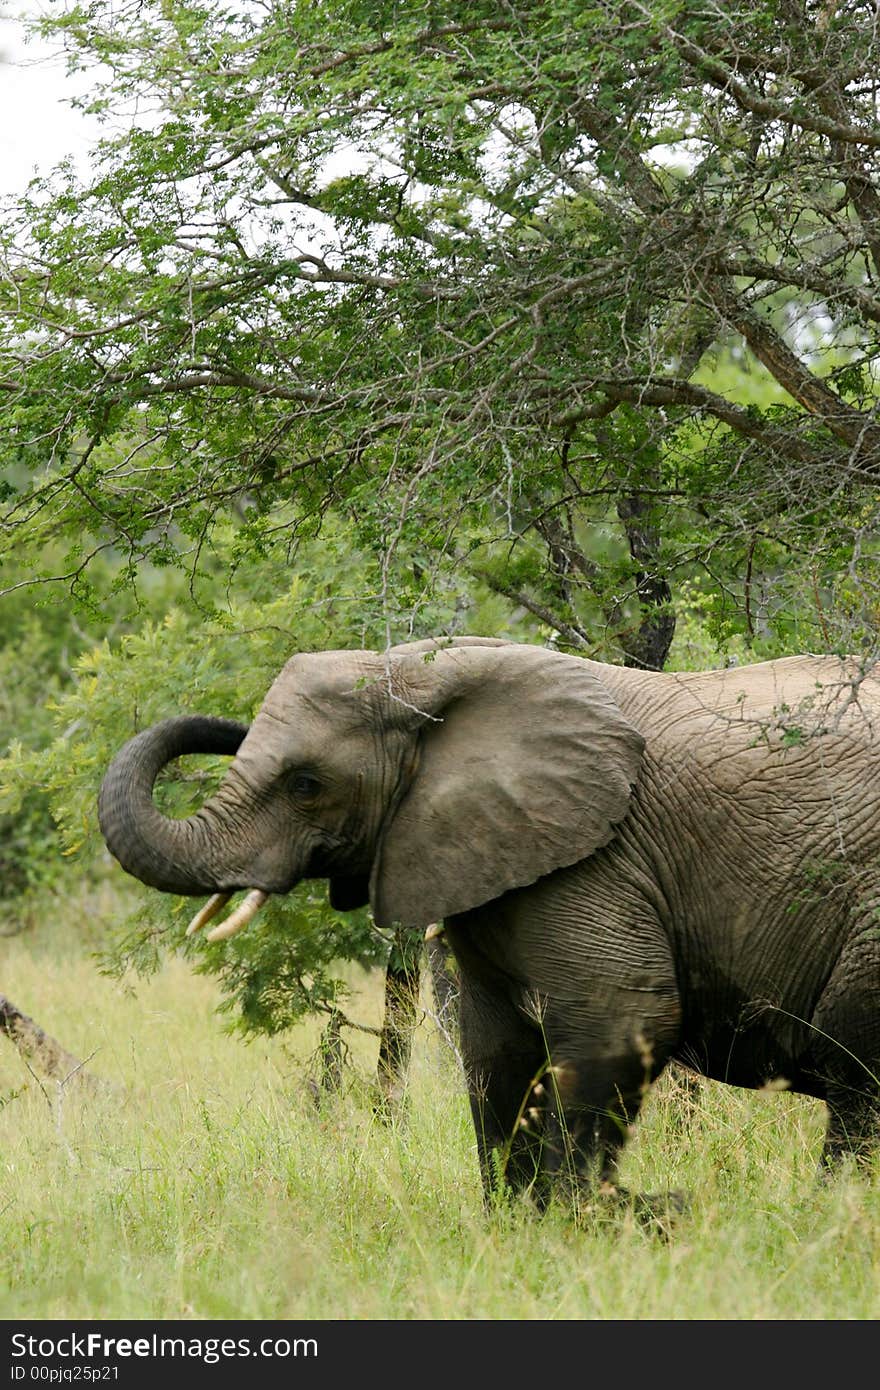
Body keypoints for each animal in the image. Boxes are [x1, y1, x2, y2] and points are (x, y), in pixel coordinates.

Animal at [95, 636, 878, 1212]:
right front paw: (515, 1225)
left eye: (306, 785)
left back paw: (833, 1217)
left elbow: (622, 1018)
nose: (222, 727)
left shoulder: (596, 857)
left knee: (855, 1073)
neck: (427, 675)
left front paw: (581, 1224)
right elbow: (494, 1048)